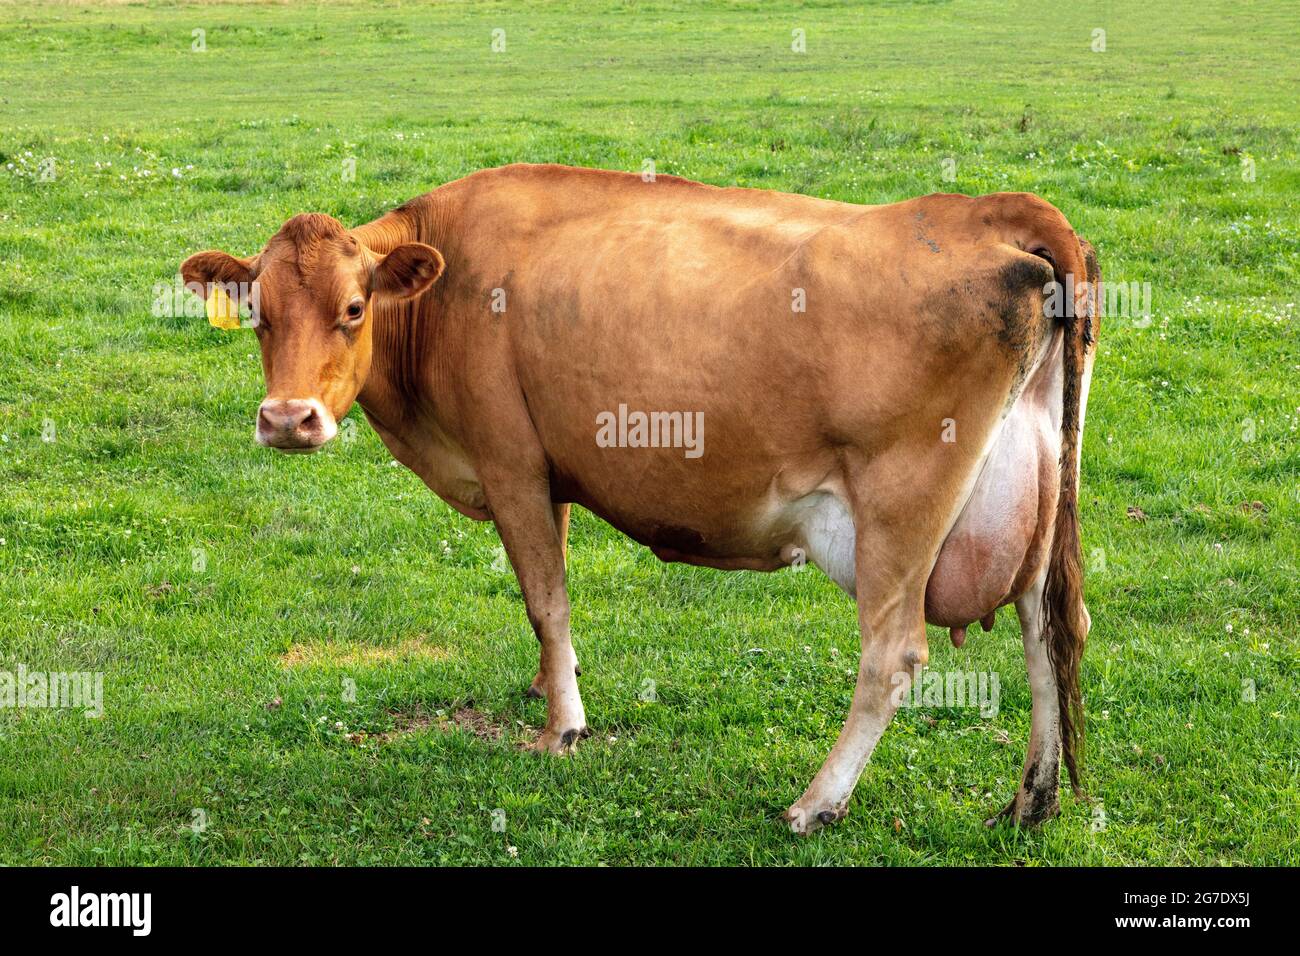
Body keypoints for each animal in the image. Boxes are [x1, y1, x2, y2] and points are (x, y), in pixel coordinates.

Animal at [181, 163, 1098, 833]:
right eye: (259, 312)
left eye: (353, 307)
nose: (287, 419)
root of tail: (988, 209)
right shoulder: (544, 472)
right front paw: (553, 692)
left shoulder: (513, 466)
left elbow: (545, 600)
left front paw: (562, 726)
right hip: (1034, 496)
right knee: (1050, 625)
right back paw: (1032, 799)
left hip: (901, 506)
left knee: (895, 655)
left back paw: (815, 802)